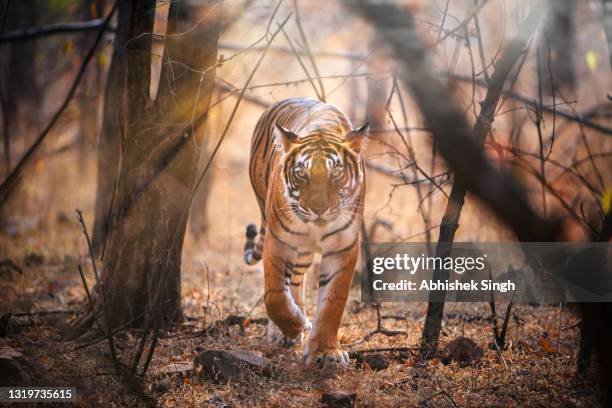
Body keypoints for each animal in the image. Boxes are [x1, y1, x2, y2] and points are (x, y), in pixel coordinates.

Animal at [244, 98, 368, 370]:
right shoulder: (278, 241)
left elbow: (333, 303)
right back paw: (284, 330)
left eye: (336, 173)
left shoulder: (343, 248)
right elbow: (274, 296)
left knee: (296, 279)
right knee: (286, 284)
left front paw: (327, 352)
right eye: (302, 173)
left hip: (303, 253)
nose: (318, 209)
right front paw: (293, 326)